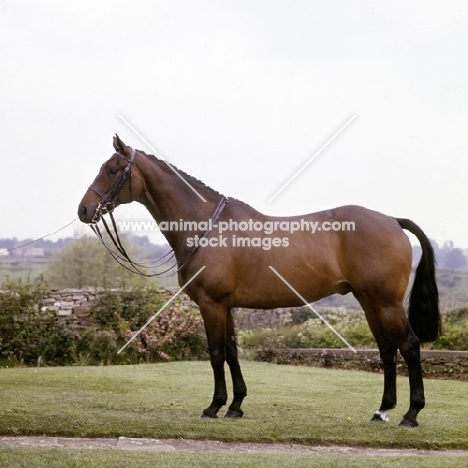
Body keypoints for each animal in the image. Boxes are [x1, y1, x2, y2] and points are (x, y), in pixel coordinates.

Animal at [77, 135, 438, 428]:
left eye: (112, 170)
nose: (84, 209)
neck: (206, 225)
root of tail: (392, 220)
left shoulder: (211, 304)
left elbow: (216, 352)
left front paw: (214, 406)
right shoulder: (226, 306)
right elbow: (232, 351)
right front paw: (235, 405)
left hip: (386, 302)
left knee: (409, 345)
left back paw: (411, 414)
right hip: (368, 301)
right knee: (387, 348)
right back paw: (382, 411)